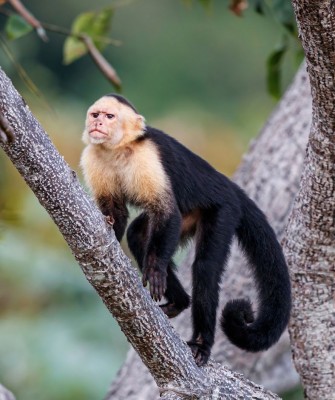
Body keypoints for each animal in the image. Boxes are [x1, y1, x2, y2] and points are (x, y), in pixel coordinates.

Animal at [80, 94, 292, 366]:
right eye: (95, 115)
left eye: (110, 116)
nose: (97, 124)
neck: (117, 150)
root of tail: (229, 186)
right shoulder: (93, 157)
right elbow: (116, 215)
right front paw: (107, 244)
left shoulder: (147, 157)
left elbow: (166, 211)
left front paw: (156, 269)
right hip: (191, 216)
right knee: (139, 235)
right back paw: (179, 302)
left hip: (223, 210)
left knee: (204, 269)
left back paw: (201, 342)